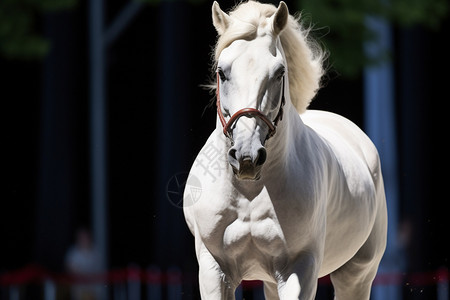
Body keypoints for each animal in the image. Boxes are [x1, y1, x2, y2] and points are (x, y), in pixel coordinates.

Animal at [183, 1, 386, 298]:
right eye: (222, 72)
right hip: (270, 281)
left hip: (358, 274)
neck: (249, 194)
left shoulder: (299, 268)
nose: (247, 157)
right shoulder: (214, 269)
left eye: (279, 73)